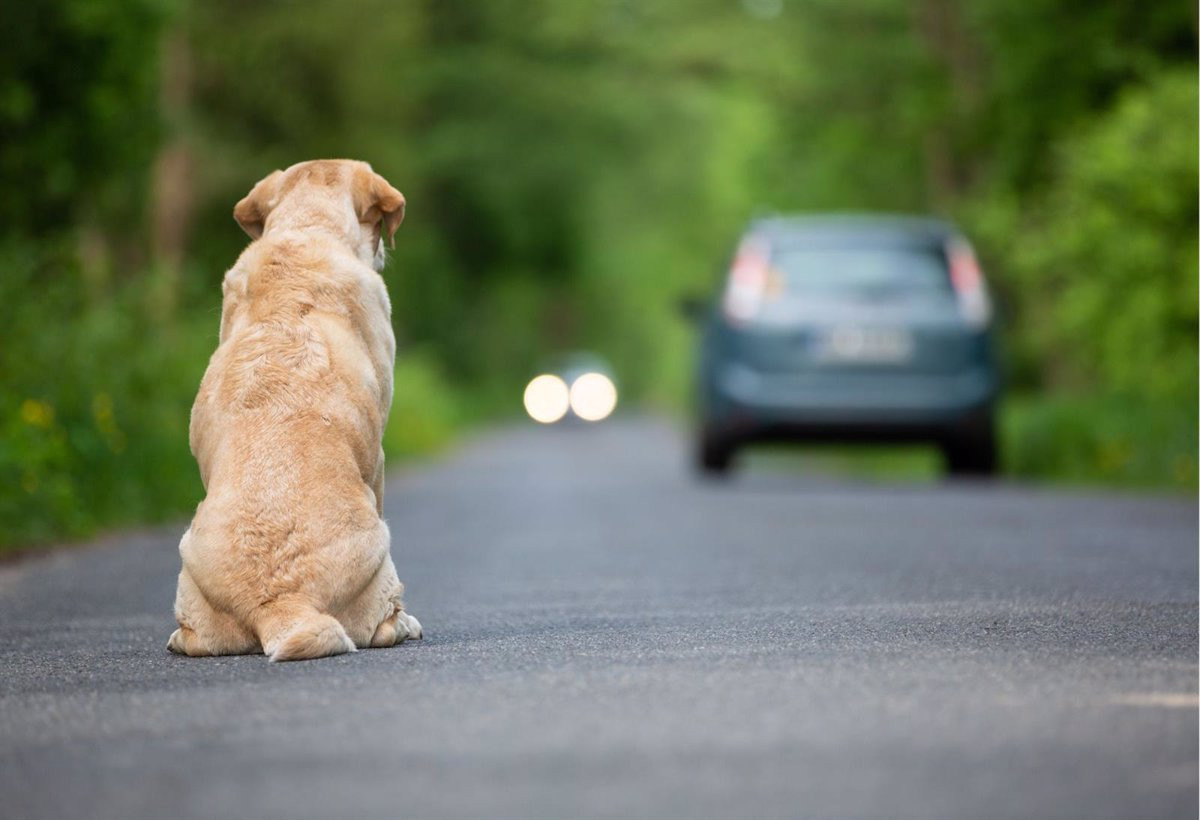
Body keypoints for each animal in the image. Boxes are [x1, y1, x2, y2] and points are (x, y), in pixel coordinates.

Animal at [168, 158, 422, 662]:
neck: (306, 229)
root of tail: (282, 601)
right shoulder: (379, 458)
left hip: (190, 567)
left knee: (193, 638)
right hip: (380, 552)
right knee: (384, 623)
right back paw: (406, 624)